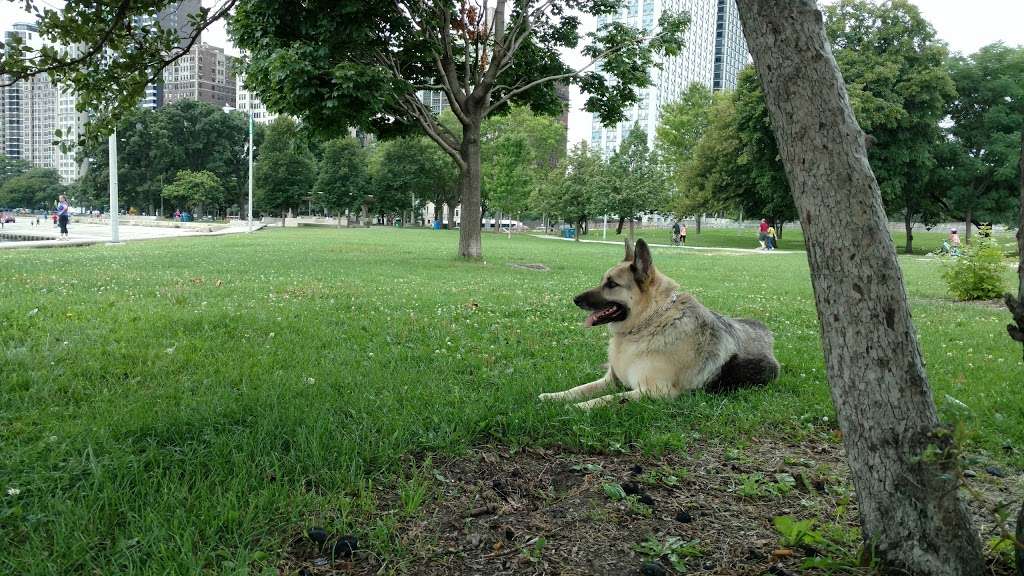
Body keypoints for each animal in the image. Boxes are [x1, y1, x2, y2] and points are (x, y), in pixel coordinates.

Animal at [540, 236, 778, 407]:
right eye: (602, 281)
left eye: (612, 284)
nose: (575, 299)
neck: (648, 322)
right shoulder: (610, 381)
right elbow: (578, 389)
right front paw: (554, 396)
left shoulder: (655, 391)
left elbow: (609, 399)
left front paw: (579, 407)